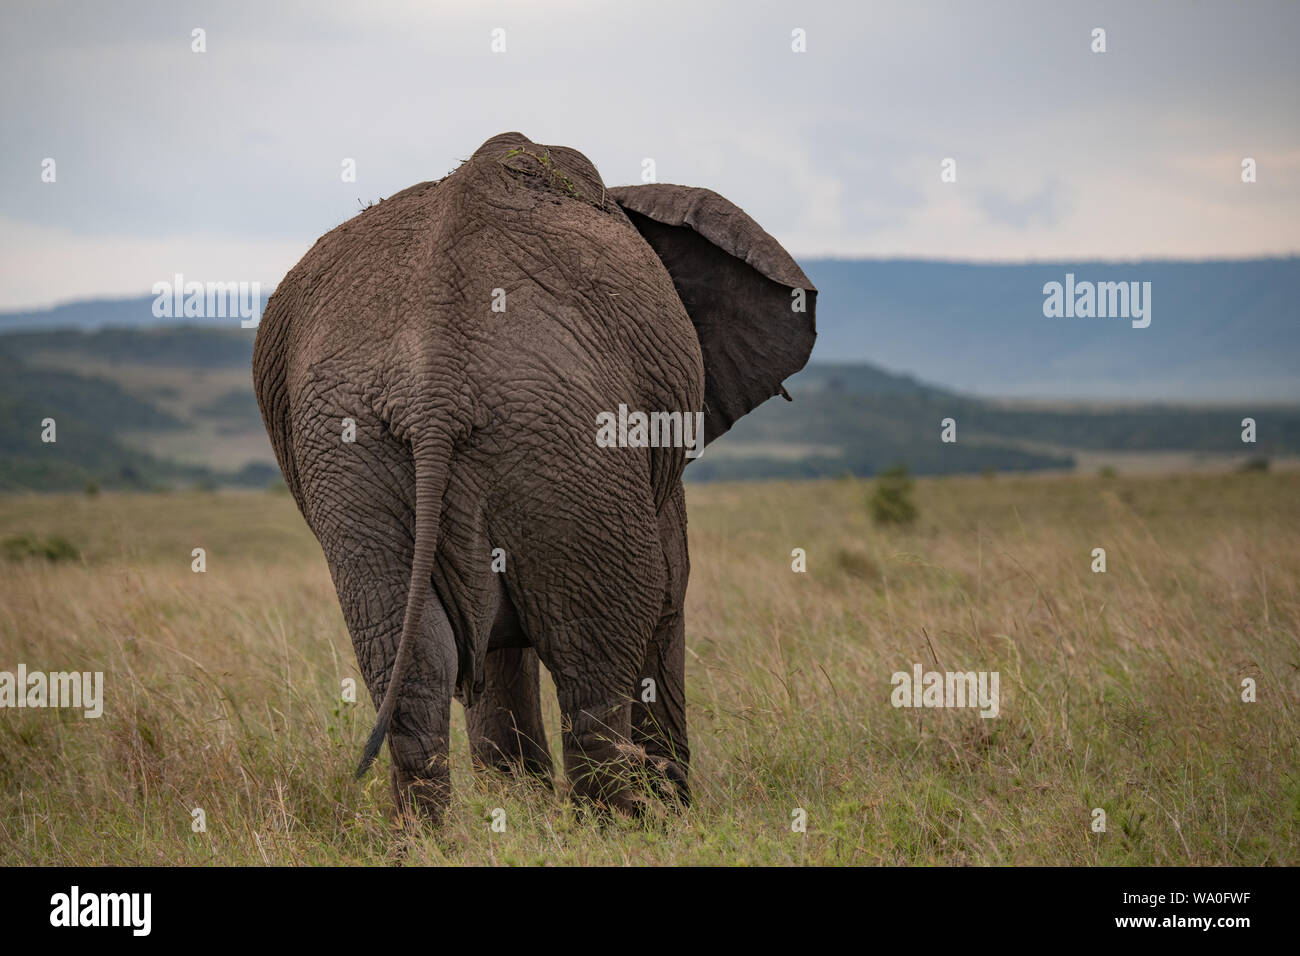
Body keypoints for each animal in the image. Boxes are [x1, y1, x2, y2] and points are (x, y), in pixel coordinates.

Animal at [250, 128, 811, 822]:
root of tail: (434, 383)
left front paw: (518, 808)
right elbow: (670, 592)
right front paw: (672, 816)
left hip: (357, 454)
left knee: (411, 667)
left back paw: (432, 837)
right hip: (568, 440)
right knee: (598, 658)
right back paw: (622, 826)